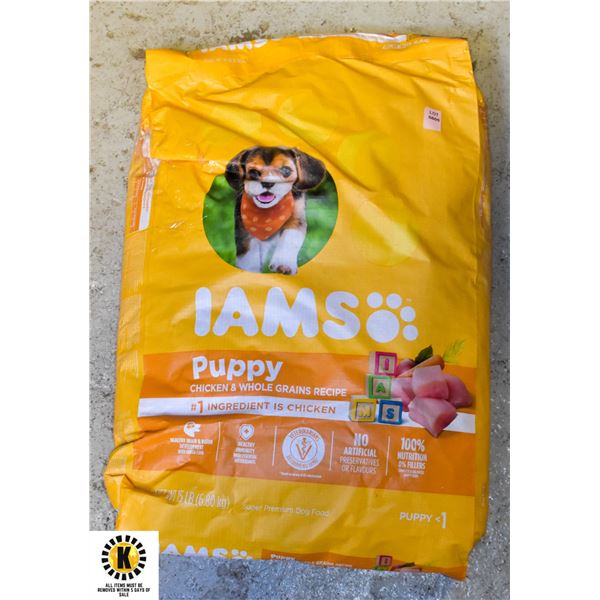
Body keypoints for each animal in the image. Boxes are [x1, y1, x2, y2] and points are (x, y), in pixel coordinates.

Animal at [224, 146, 326, 275]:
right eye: (253, 172)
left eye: (286, 170)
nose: (267, 183)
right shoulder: (243, 224)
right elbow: (248, 249)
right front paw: (248, 269)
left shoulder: (296, 217)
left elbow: (290, 239)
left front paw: (283, 264)